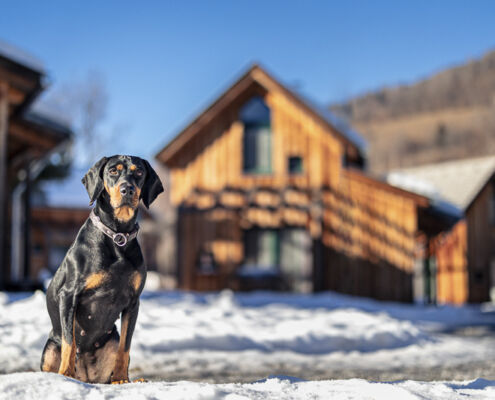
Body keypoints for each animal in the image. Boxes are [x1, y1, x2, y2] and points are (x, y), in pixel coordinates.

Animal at [40, 155, 164, 382]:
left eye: (139, 172)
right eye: (113, 171)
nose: (127, 189)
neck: (118, 236)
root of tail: (86, 377)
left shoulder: (133, 302)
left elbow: (125, 346)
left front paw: (121, 379)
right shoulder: (69, 295)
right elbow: (70, 343)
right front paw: (66, 374)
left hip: (110, 341)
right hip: (50, 348)